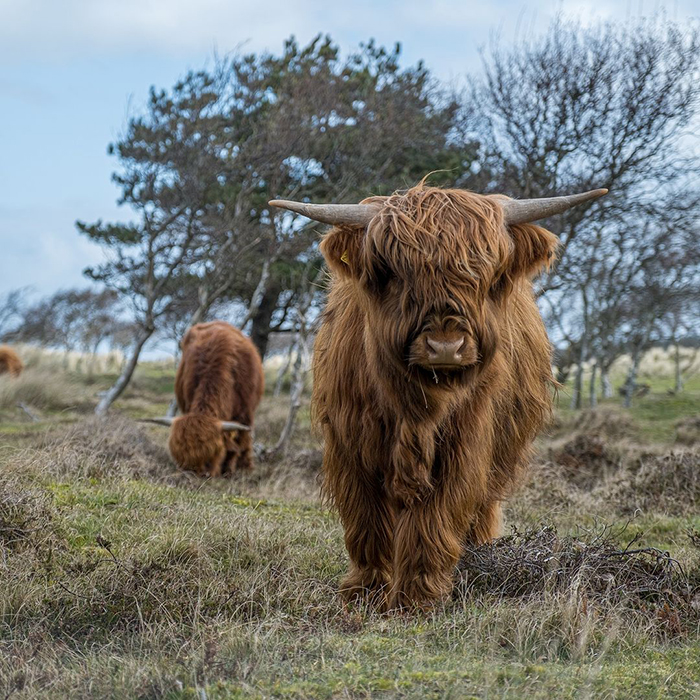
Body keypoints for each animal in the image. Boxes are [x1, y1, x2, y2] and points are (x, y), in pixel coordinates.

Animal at [144, 322, 264, 476]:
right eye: (180, 459)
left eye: (210, 456)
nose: (194, 474)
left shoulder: (245, 413)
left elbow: (241, 440)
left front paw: (234, 469)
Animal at [270, 183, 608, 608]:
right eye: (394, 273)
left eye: (487, 274)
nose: (445, 346)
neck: (415, 409)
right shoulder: (351, 443)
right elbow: (366, 520)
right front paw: (366, 589)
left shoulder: (464, 443)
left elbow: (434, 518)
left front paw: (416, 597)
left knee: (482, 507)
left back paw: (480, 554)